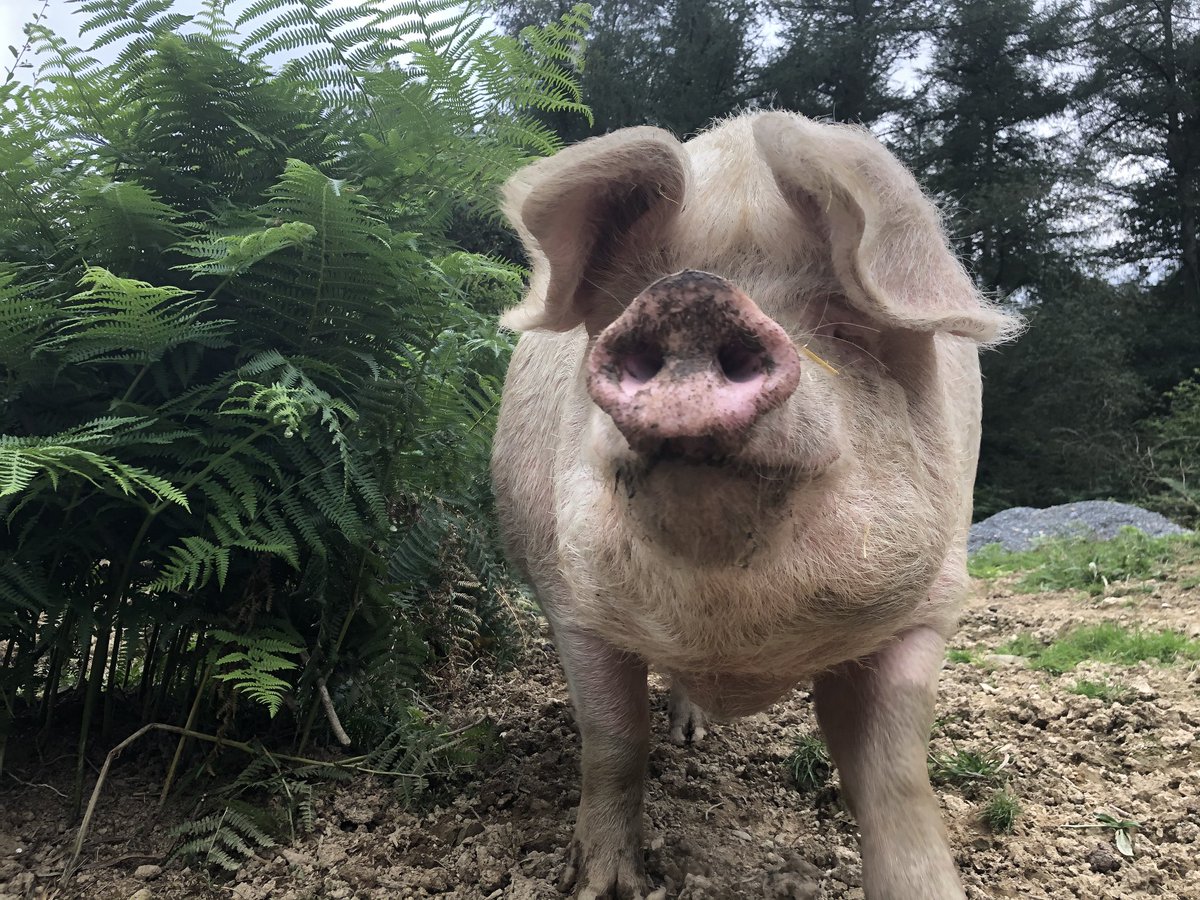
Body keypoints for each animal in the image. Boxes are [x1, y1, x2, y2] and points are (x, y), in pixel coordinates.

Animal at [490, 111, 1021, 900]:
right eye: (626, 301)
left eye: (843, 321)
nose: (692, 295)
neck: (734, 642)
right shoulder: (571, 601)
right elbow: (612, 740)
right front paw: (603, 886)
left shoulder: (928, 608)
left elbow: (893, 777)